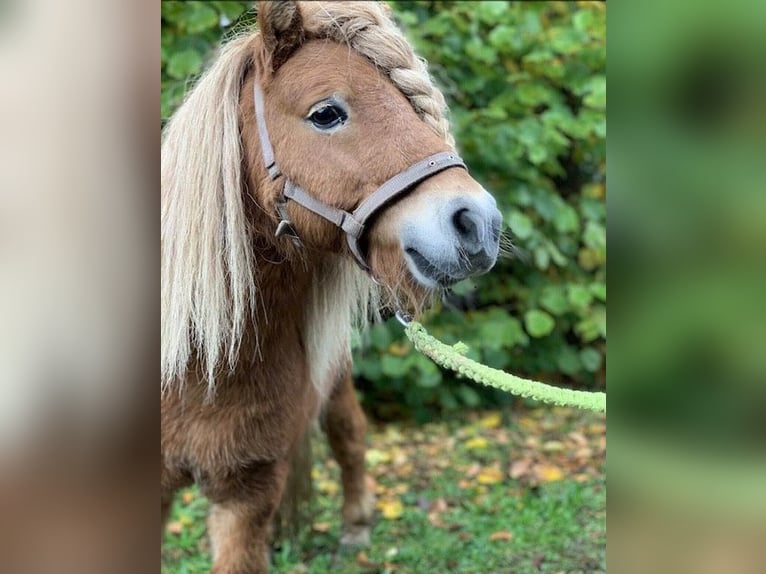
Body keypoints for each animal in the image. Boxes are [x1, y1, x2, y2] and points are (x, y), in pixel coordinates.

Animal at [160, 2, 504, 572]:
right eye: (326, 113)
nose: (478, 224)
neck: (198, 365)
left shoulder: (246, 495)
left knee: (350, 433)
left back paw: (356, 524)